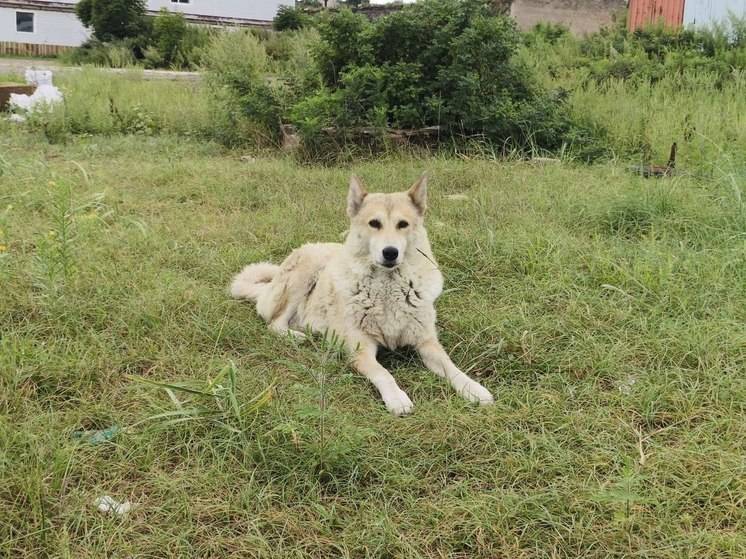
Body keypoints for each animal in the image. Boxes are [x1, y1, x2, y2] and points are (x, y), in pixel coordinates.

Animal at [230, 175, 492, 416]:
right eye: (374, 223)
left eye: (403, 224)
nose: (390, 252)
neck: (388, 288)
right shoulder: (361, 350)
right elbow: (383, 373)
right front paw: (397, 398)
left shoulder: (427, 343)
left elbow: (451, 367)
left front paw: (473, 388)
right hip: (305, 273)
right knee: (275, 323)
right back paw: (297, 336)